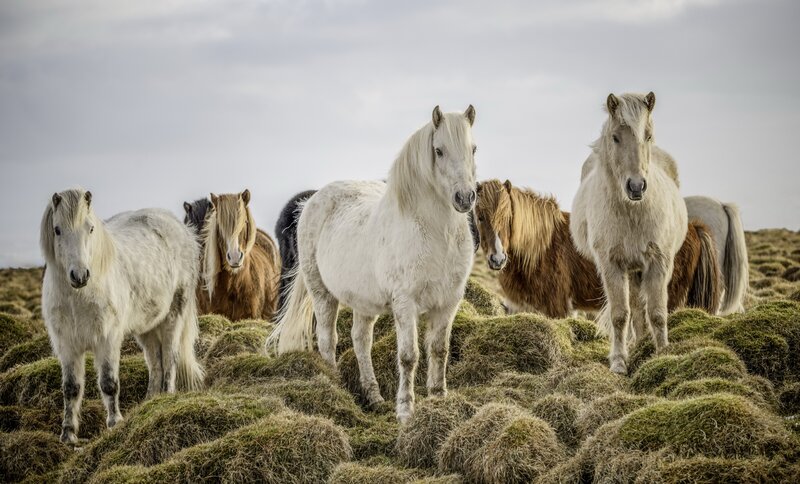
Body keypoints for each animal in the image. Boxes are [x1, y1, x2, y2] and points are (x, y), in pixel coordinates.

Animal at [40, 189, 204, 443]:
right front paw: (68, 434)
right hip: (147, 326)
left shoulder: (107, 340)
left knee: (170, 358)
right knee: (155, 361)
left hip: (173, 316)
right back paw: (149, 402)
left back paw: (166, 399)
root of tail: (183, 230)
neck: (78, 297)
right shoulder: (66, 345)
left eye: (90, 228)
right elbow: (71, 388)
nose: (80, 275)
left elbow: (108, 383)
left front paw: (115, 423)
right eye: (57, 229)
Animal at [267, 105, 478, 424]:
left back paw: (374, 396)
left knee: (360, 341)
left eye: (473, 148)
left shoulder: (448, 303)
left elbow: (439, 350)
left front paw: (438, 400)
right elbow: (409, 356)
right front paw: (405, 411)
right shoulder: (405, 303)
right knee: (327, 340)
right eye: (438, 151)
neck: (435, 233)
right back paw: (336, 388)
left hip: (363, 303)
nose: (464, 198)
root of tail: (311, 201)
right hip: (322, 294)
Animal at [475, 179, 720, 319]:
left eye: (508, 218)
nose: (497, 259)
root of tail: (693, 227)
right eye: (480, 216)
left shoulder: (558, 308)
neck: (541, 247)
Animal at [570, 92, 689, 375]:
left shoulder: (659, 262)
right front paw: (618, 361)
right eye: (615, 137)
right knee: (633, 307)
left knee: (641, 307)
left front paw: (662, 353)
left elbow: (657, 312)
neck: (632, 211)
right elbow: (620, 314)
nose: (636, 187)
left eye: (648, 135)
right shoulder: (611, 265)